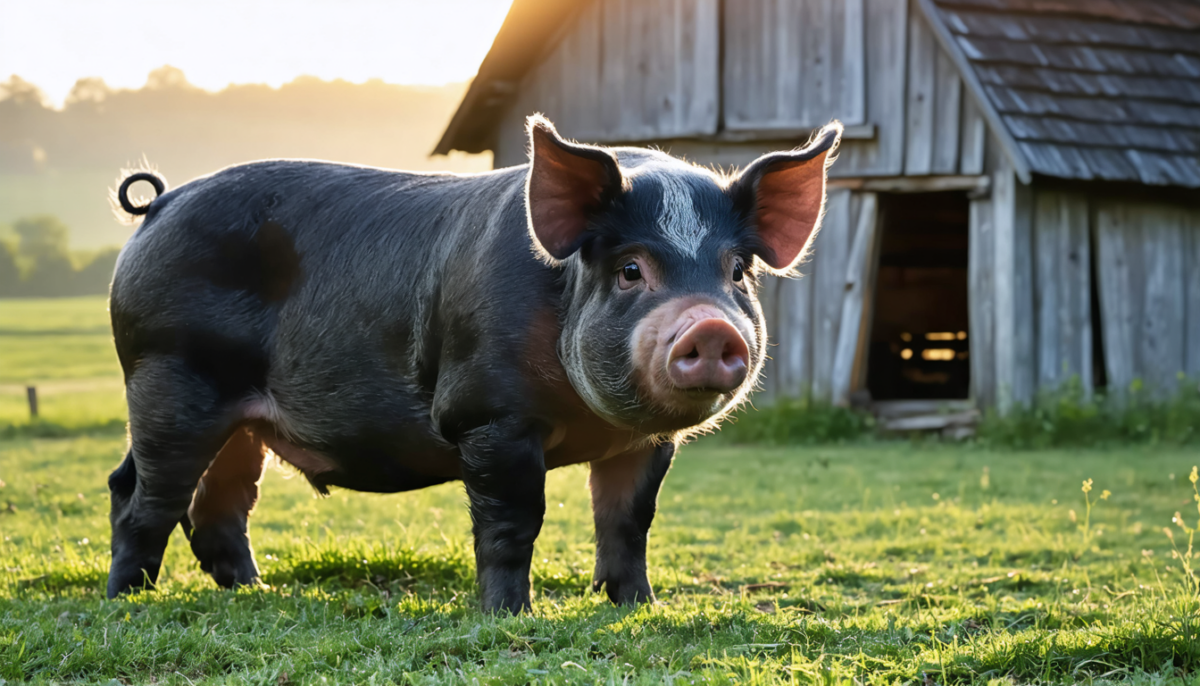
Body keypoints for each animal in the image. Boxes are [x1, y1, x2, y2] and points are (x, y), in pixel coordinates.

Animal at [106, 115, 841, 612]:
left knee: (208, 503)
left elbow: (629, 521)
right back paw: (129, 602)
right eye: (631, 269)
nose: (712, 327)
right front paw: (508, 615)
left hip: (237, 417)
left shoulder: (646, 441)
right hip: (168, 372)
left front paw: (638, 607)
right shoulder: (488, 415)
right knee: (148, 496)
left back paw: (255, 593)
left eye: (736, 271)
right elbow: (513, 520)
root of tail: (161, 204)